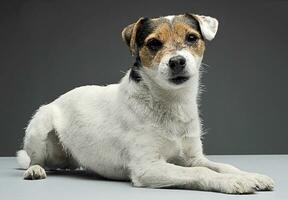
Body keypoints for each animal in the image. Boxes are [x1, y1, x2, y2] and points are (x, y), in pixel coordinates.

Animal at [16, 12, 274, 194]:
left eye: (192, 38)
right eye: (153, 44)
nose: (177, 61)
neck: (171, 102)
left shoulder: (193, 158)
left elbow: (221, 166)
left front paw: (249, 175)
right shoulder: (148, 167)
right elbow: (203, 172)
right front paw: (233, 182)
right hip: (39, 126)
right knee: (34, 159)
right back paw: (35, 169)